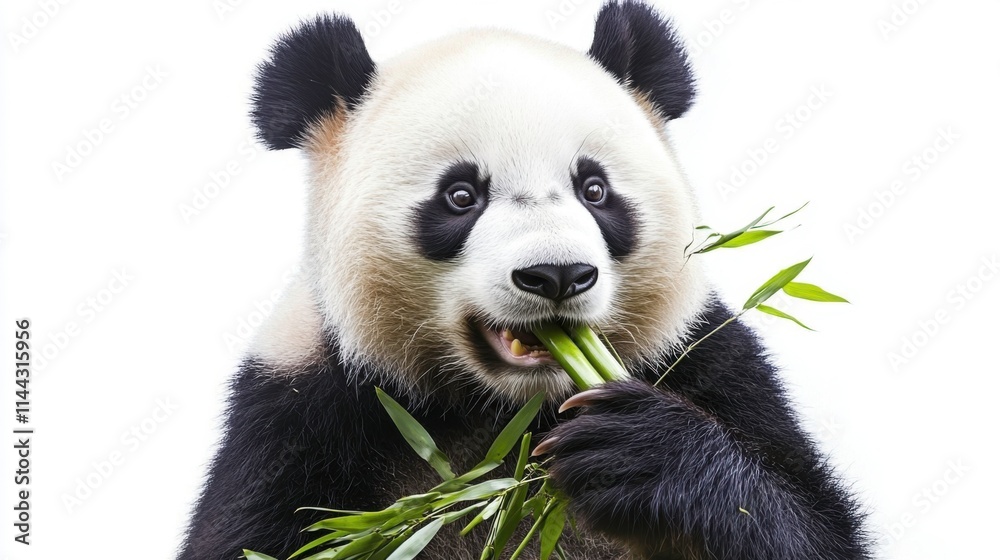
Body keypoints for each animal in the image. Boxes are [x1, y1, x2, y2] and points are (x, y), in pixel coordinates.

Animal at [180, 2, 870, 559]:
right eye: (460, 195)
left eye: (594, 190)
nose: (557, 275)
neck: (511, 414)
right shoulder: (298, 415)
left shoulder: (710, 365)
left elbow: (806, 524)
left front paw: (643, 454)